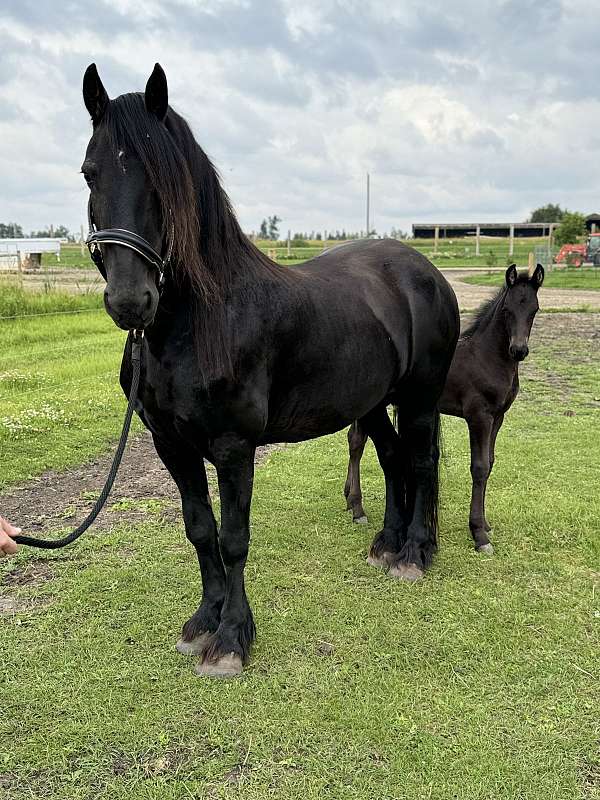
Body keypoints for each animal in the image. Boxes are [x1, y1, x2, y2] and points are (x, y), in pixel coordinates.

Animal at [81, 62, 460, 676]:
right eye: (90, 173)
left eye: (166, 181)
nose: (131, 301)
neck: (202, 320)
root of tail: (423, 270)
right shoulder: (171, 444)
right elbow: (200, 530)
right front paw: (203, 622)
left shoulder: (234, 447)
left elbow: (234, 538)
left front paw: (233, 638)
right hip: (373, 401)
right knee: (393, 459)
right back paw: (385, 544)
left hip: (421, 396)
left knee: (422, 462)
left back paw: (414, 553)